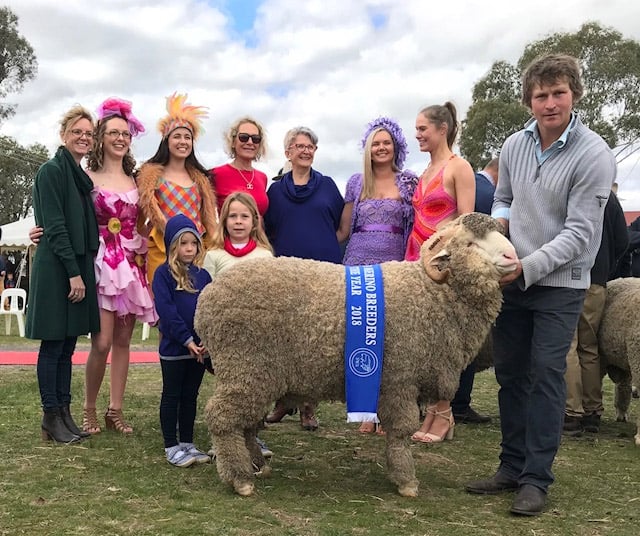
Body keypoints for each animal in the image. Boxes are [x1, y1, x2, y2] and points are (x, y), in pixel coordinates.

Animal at [196, 211, 520, 496]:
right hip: (245, 366)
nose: (512, 258)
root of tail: (206, 301)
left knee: (247, 423)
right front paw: (406, 480)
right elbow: (402, 430)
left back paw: (257, 465)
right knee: (222, 418)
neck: (429, 294)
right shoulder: (399, 380)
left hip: (257, 375)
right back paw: (240, 479)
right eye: (470, 243)